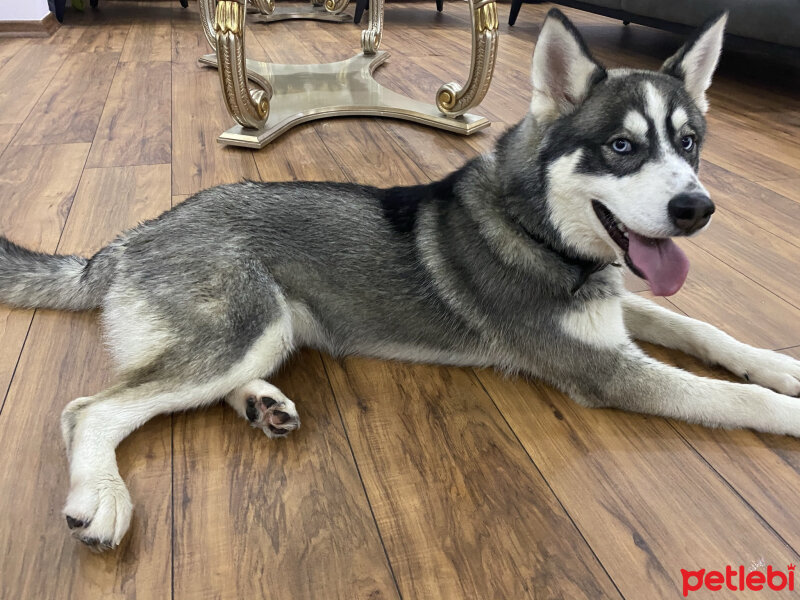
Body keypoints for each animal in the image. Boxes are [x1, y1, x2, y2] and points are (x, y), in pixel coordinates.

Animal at [0, 10, 796, 552]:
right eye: (623, 147)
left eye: (689, 144)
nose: (697, 209)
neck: (544, 232)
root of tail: (126, 238)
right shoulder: (602, 368)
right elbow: (732, 397)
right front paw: (788, 407)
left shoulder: (620, 305)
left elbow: (702, 328)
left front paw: (780, 363)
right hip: (249, 320)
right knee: (91, 409)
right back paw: (103, 495)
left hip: (269, 329)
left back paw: (262, 404)